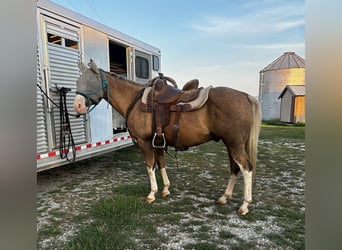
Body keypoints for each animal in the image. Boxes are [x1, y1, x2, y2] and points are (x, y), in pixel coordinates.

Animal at [73, 59, 260, 215]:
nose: (78, 106)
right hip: (231, 145)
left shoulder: (145, 143)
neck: (135, 101)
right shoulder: (158, 142)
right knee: (235, 168)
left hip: (235, 145)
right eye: (77, 82)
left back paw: (244, 205)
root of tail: (246, 96)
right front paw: (165, 190)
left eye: (90, 81)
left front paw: (152, 194)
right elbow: (161, 163)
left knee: (246, 168)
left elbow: (150, 166)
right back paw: (224, 197)